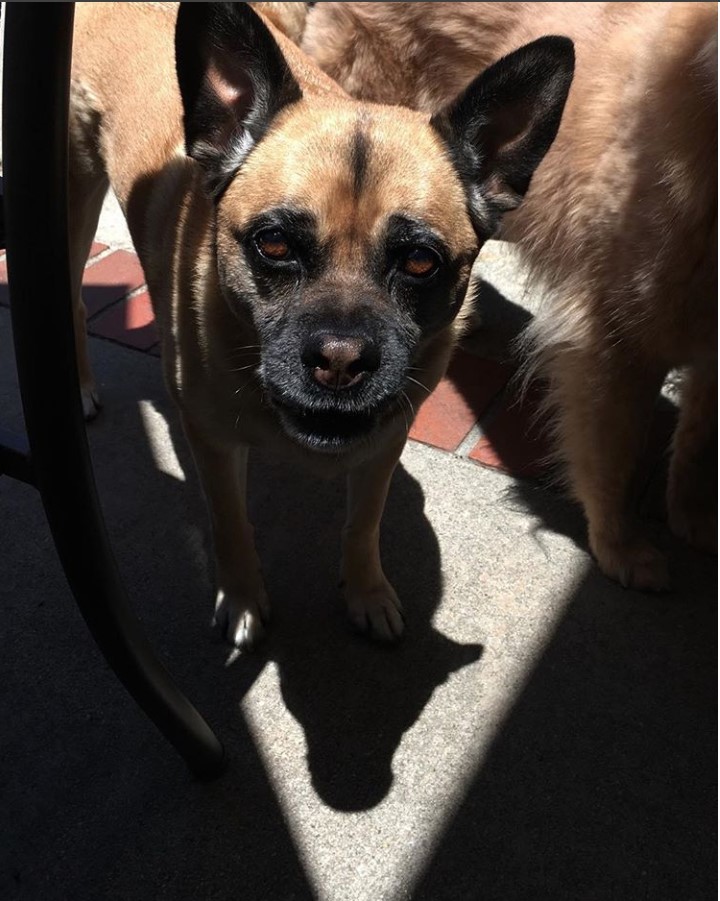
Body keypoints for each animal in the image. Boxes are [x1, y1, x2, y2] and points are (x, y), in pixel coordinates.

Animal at [67, 0, 572, 648]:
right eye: (275, 244)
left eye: (420, 261)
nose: (339, 359)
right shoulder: (213, 446)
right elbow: (231, 525)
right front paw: (243, 597)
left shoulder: (385, 442)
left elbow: (364, 523)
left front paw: (366, 592)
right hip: (74, 202)